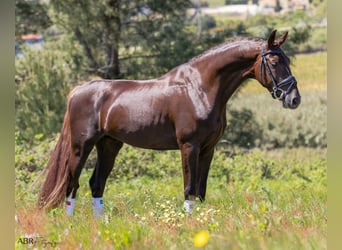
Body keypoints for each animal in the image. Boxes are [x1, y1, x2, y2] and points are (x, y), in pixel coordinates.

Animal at [36, 29, 300, 215]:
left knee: (96, 183)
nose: (294, 99)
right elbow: (189, 189)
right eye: (274, 62)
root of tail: (79, 90)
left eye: (288, 60)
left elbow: (201, 191)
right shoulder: (189, 146)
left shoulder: (208, 149)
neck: (199, 88)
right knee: (72, 184)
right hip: (81, 146)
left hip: (109, 144)